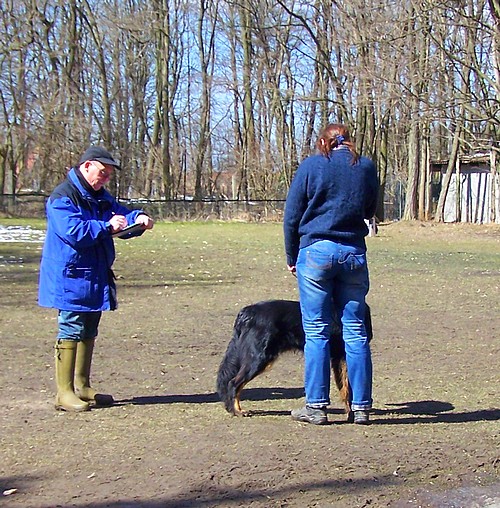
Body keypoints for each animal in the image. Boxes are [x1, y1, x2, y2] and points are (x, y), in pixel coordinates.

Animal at [217, 300, 374, 414]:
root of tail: (247, 312)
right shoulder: (344, 355)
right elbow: (348, 387)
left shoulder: (339, 357)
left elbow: (345, 387)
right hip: (258, 358)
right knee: (233, 383)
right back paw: (237, 411)